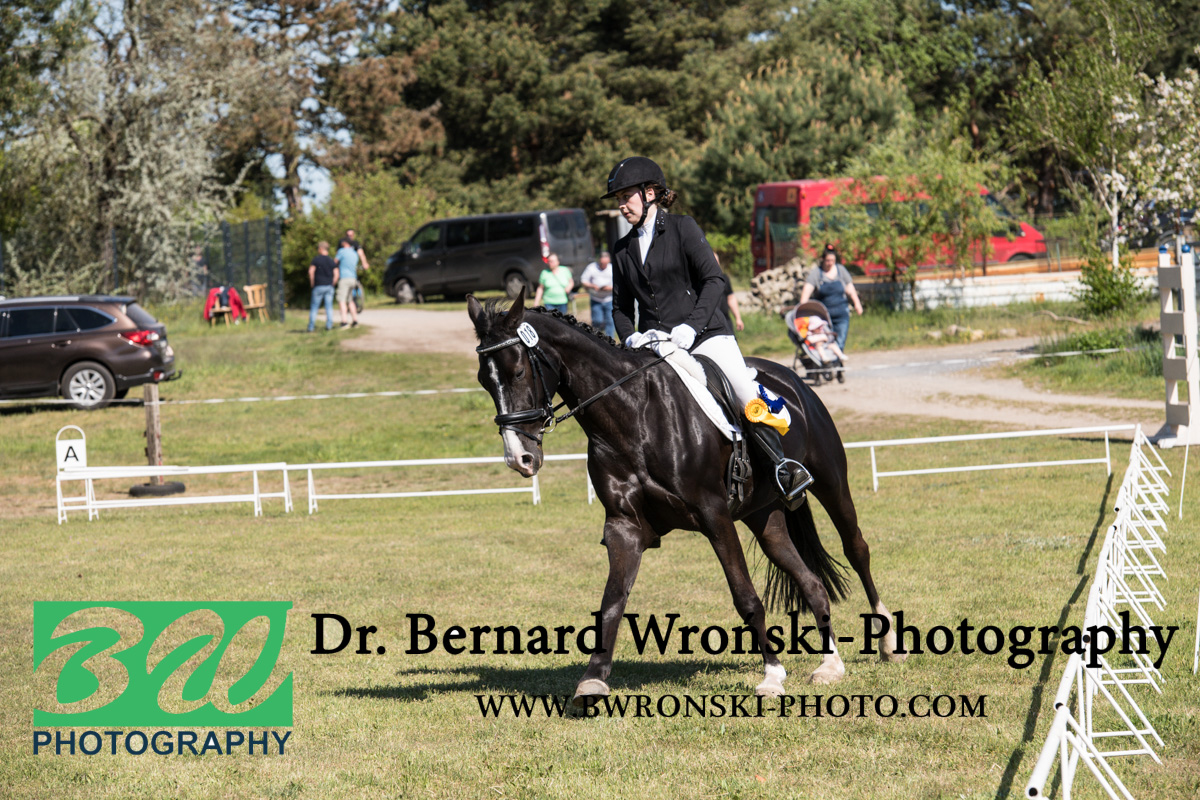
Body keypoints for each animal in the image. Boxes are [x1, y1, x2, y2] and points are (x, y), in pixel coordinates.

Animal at [467, 289, 905, 704]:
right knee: (810, 580)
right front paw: (593, 681)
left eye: (518, 370)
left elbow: (746, 598)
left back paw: (888, 642)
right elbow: (612, 602)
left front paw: (772, 677)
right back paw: (830, 665)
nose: (520, 459)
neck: (635, 417)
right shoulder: (624, 527)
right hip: (763, 514)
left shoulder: (715, 516)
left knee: (856, 548)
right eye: (484, 380)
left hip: (831, 481)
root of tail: (791, 378)